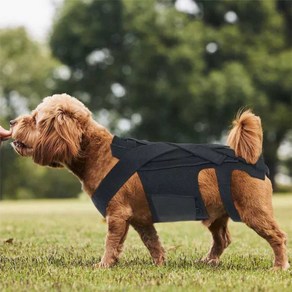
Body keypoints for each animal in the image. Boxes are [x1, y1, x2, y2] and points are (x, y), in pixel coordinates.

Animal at [10, 93, 288, 270]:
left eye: (34, 119)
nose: (11, 122)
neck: (98, 152)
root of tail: (253, 159)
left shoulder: (117, 214)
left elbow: (111, 243)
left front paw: (103, 264)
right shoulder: (140, 219)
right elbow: (152, 242)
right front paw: (160, 264)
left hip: (254, 210)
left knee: (278, 236)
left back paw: (279, 265)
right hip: (216, 215)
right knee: (222, 239)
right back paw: (208, 261)